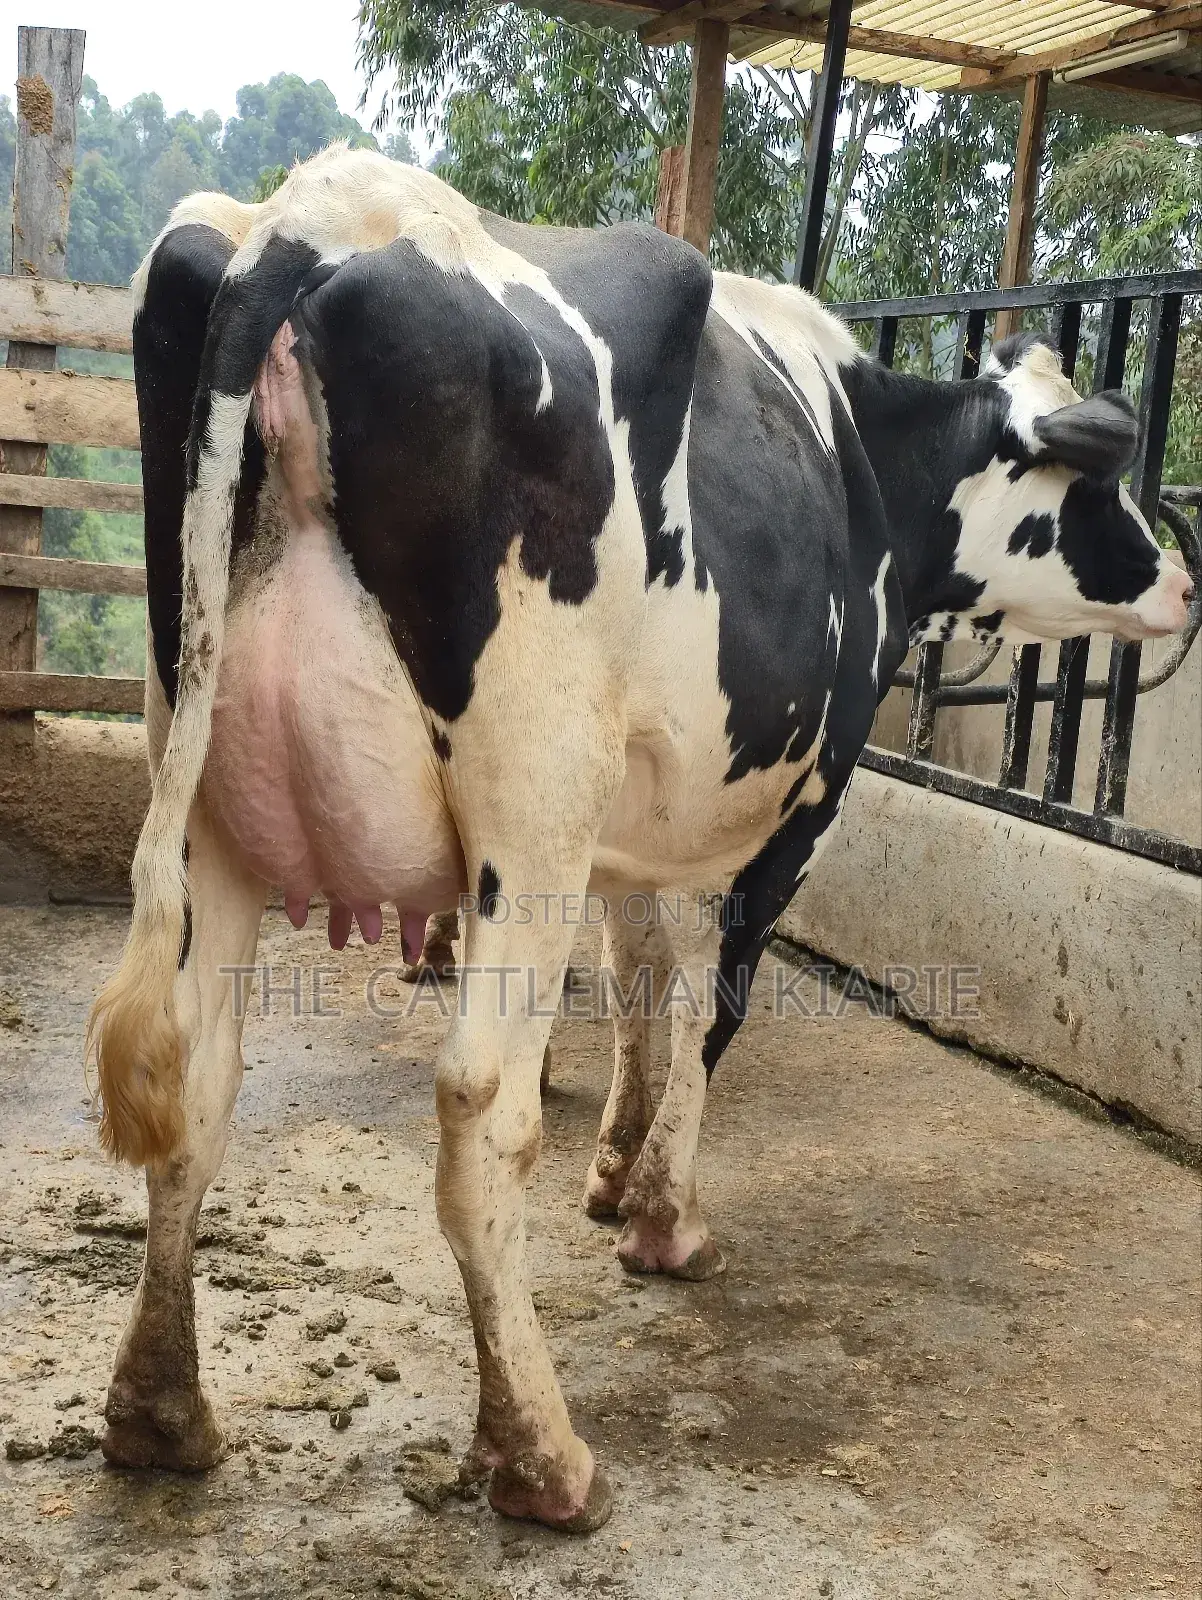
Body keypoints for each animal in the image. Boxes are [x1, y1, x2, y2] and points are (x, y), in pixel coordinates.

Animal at [87, 145, 1192, 1533]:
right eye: (1091, 484)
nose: (1182, 582)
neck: (864, 453)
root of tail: (312, 221)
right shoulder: (809, 793)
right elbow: (715, 996)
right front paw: (662, 1216)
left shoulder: (621, 826)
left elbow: (638, 976)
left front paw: (613, 1162)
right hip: (528, 803)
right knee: (479, 1111)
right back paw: (540, 1454)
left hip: (207, 787)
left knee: (196, 1080)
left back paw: (159, 1411)